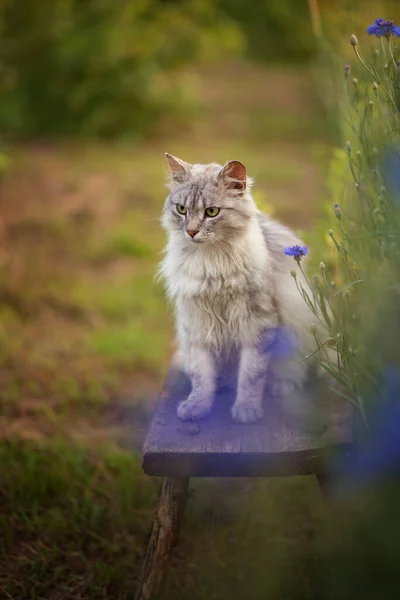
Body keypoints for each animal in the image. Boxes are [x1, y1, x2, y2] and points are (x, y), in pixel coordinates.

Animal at [159, 157, 318, 424]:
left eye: (212, 212)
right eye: (181, 209)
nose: (191, 232)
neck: (211, 265)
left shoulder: (257, 325)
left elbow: (251, 375)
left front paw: (246, 410)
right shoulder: (198, 325)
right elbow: (202, 376)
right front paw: (197, 406)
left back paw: (281, 385)